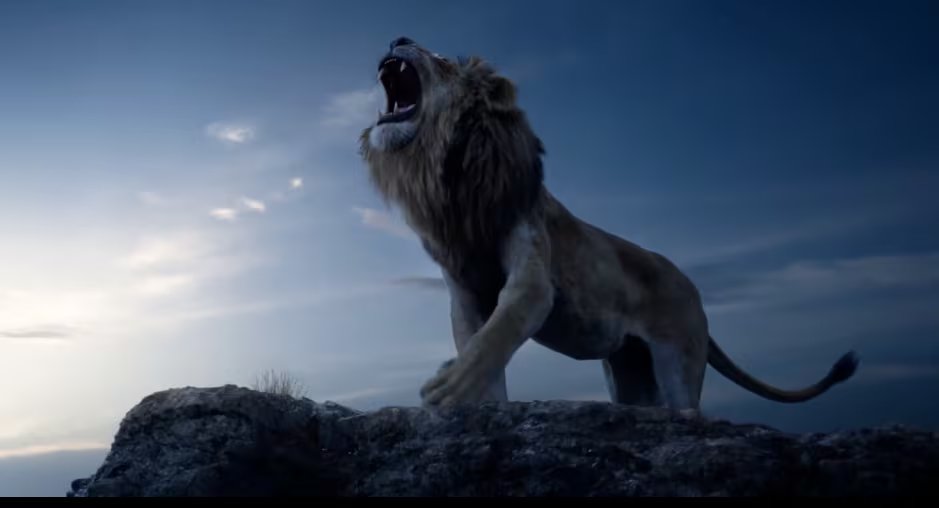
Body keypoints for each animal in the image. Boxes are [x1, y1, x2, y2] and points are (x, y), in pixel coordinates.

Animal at [359, 37, 859, 411]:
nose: (399, 38)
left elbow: (500, 328)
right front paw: (477, 400)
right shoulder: (462, 292)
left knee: (688, 409)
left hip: (679, 360)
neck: (448, 176)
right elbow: (479, 346)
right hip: (630, 373)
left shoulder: (532, 270)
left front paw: (448, 385)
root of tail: (693, 288)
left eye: (442, 59)